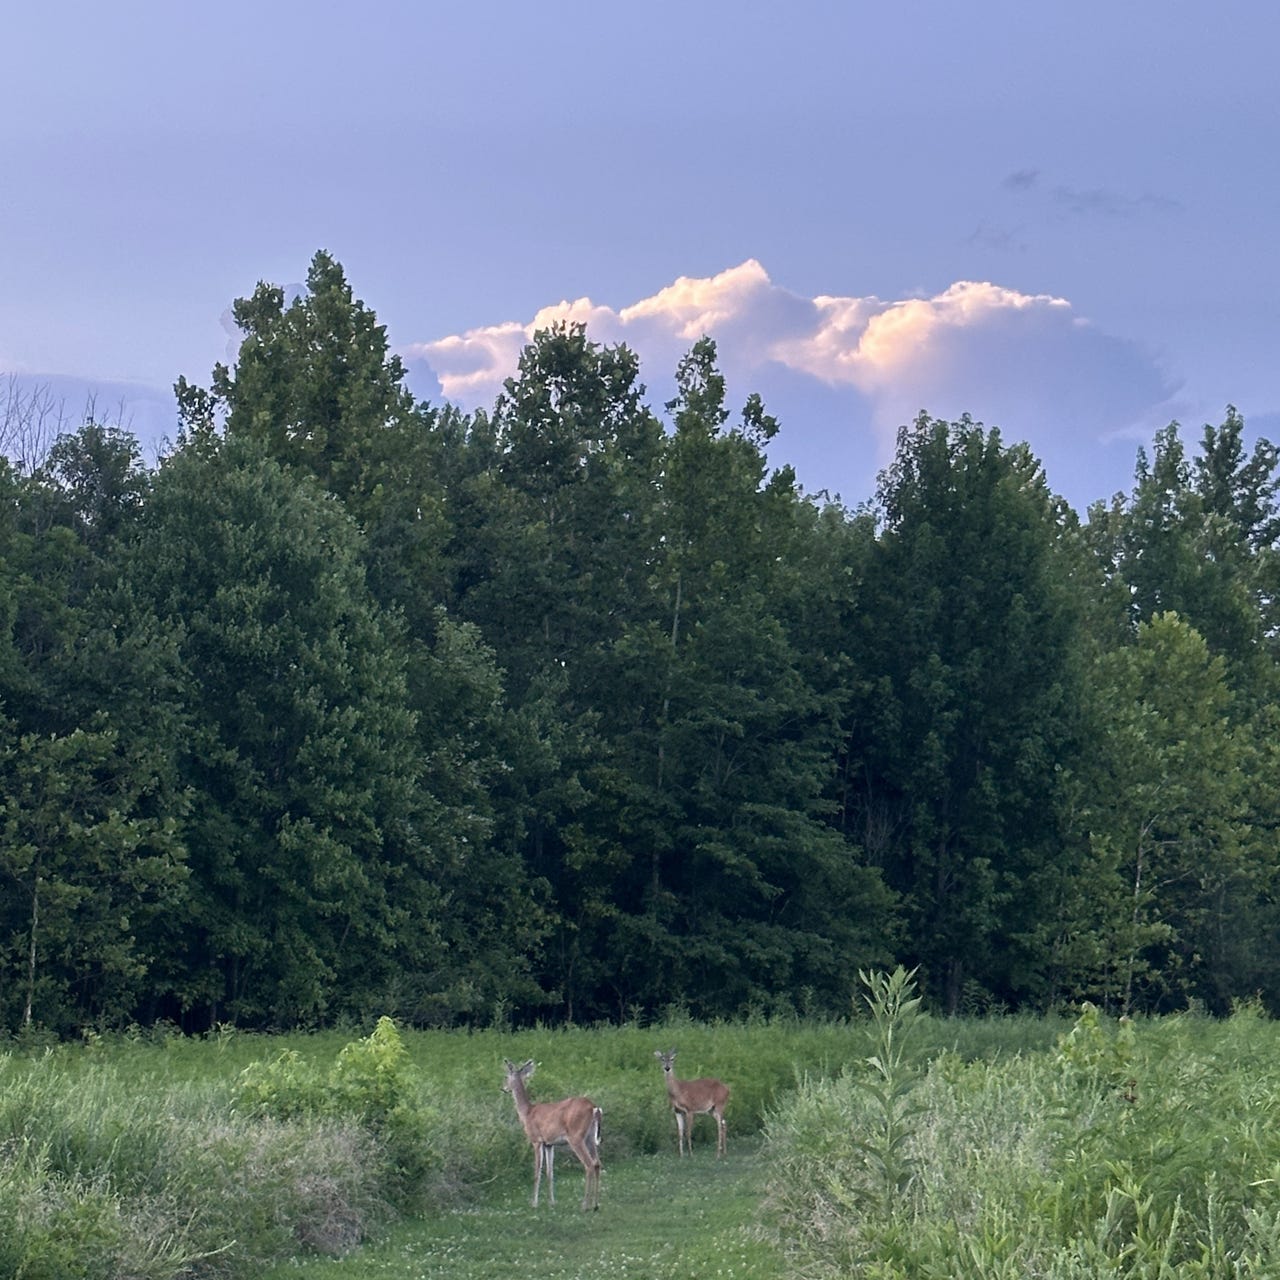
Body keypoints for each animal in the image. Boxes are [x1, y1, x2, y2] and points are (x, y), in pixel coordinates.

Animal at [502, 1058, 602, 1210]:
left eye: (506, 1076)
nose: (503, 1088)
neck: (527, 1112)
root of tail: (594, 1108)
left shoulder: (536, 1140)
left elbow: (537, 1172)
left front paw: (534, 1203)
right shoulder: (549, 1144)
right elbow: (550, 1172)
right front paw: (551, 1202)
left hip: (576, 1137)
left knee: (589, 1164)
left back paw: (584, 1205)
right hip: (590, 1137)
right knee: (597, 1163)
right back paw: (595, 1205)